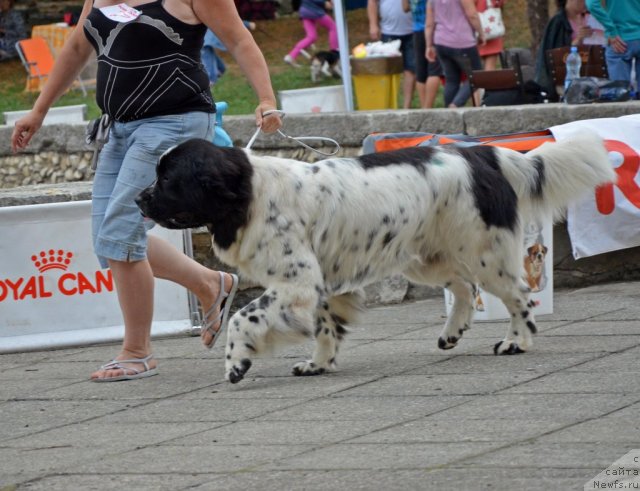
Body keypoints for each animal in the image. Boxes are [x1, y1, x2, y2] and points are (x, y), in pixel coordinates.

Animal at [136, 135, 616, 384]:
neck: (251, 193)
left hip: (482, 252)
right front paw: (318, 364)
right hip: (427, 256)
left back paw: (516, 342)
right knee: (464, 289)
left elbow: (242, 316)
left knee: (518, 295)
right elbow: (325, 327)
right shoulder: (318, 285)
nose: (139, 198)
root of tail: (483, 153)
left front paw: (236, 362)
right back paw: (451, 334)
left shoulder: (297, 281)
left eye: (168, 179)